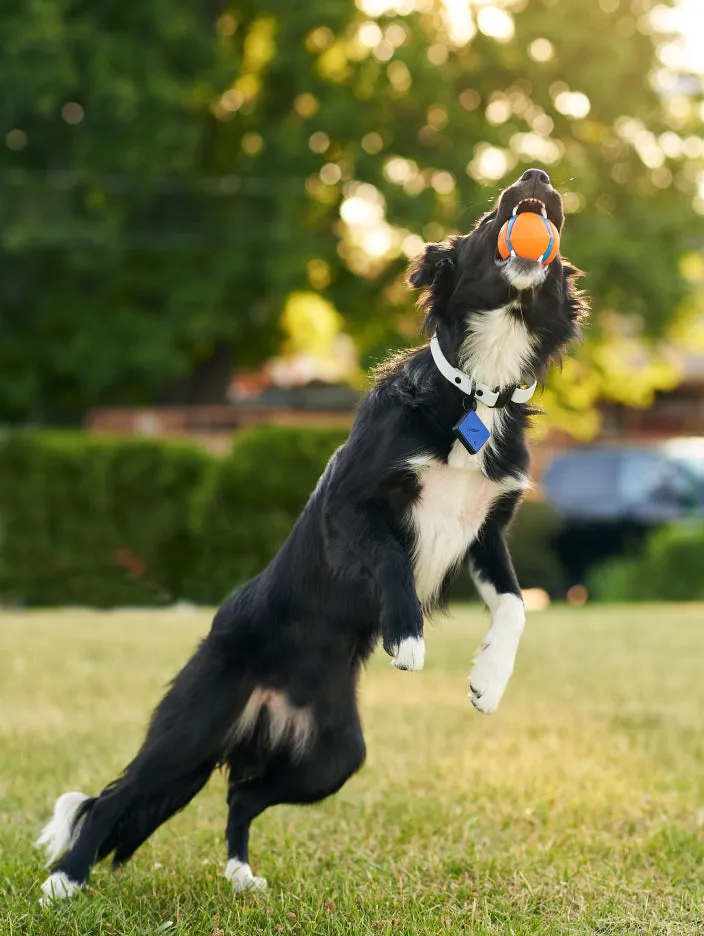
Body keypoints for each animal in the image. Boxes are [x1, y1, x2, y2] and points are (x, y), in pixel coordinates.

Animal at [37, 166, 588, 900]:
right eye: (479, 223)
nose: (537, 176)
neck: (477, 391)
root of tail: (269, 708)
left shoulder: (487, 532)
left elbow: (515, 607)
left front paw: (488, 682)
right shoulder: (350, 508)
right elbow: (390, 559)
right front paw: (407, 638)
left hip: (334, 757)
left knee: (241, 794)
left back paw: (241, 875)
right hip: (190, 731)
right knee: (111, 800)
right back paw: (64, 883)